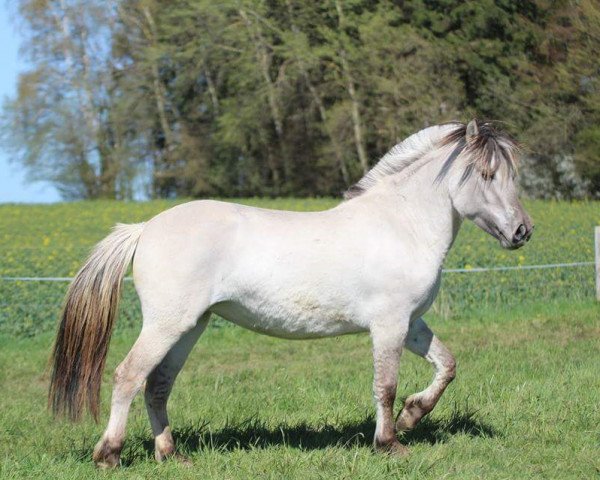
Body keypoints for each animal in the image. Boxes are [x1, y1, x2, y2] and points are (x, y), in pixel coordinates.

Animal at [48, 118, 536, 466]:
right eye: (487, 174)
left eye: (511, 174)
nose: (522, 232)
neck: (401, 225)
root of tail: (146, 228)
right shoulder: (389, 325)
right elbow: (385, 386)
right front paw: (390, 443)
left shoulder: (411, 323)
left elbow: (446, 366)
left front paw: (412, 416)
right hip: (167, 325)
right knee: (128, 377)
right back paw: (109, 455)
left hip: (190, 327)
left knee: (158, 385)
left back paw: (171, 455)